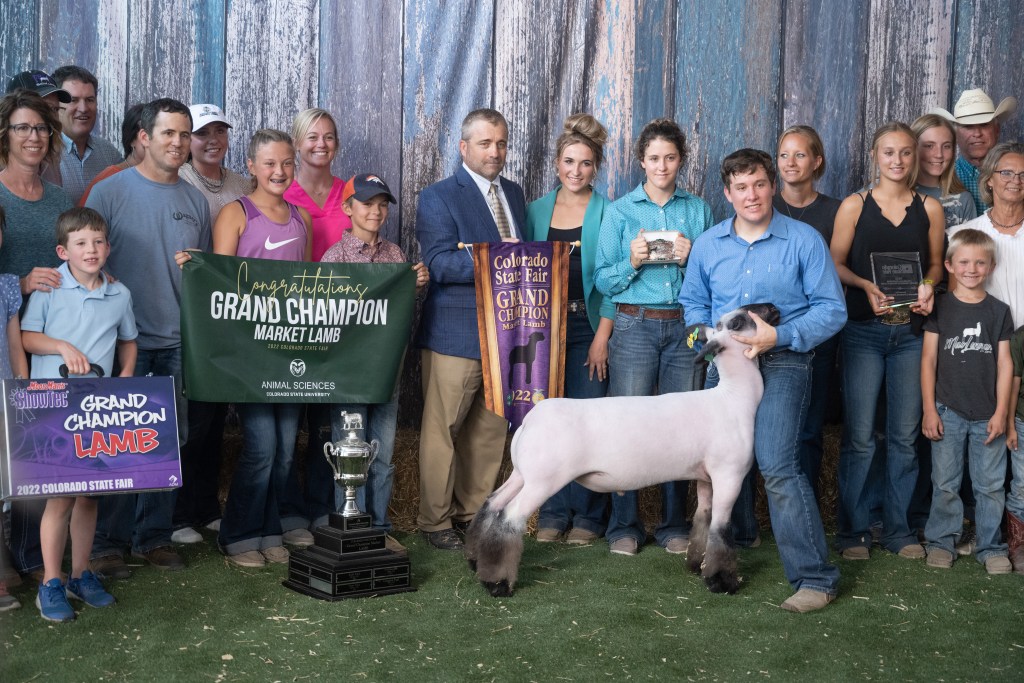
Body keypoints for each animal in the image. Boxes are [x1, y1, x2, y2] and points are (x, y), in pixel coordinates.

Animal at [464, 305, 774, 598]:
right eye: (739, 321)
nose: (771, 308)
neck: (733, 398)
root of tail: (530, 418)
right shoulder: (729, 474)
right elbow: (720, 530)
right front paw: (723, 581)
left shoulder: (706, 478)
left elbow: (702, 522)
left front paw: (698, 566)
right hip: (543, 480)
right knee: (509, 518)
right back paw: (497, 584)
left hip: (522, 473)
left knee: (492, 504)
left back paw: (475, 561)